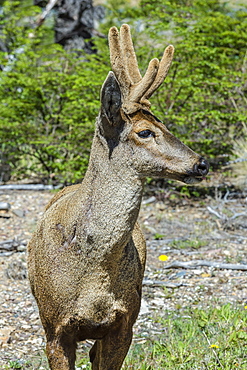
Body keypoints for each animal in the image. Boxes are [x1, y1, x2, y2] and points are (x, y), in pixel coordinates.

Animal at [27, 24, 208, 368]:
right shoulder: (54, 328)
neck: (93, 273)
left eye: (164, 124)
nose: (201, 163)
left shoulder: (124, 324)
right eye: (145, 131)